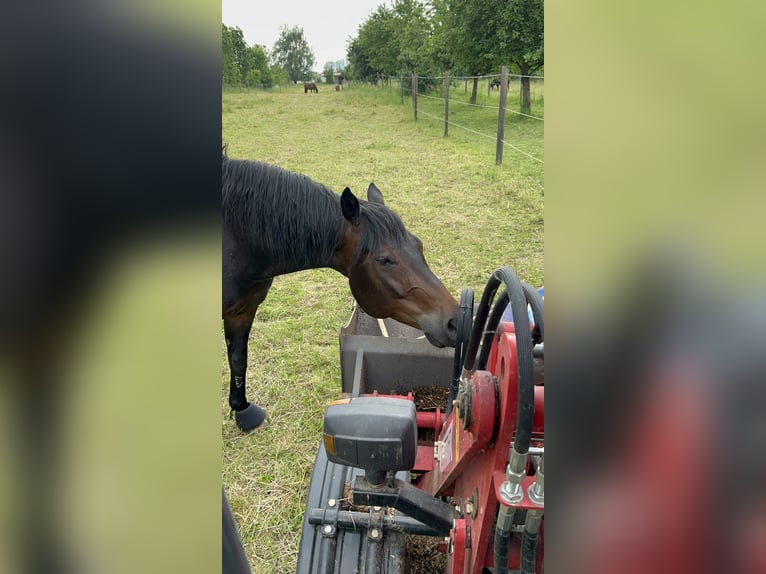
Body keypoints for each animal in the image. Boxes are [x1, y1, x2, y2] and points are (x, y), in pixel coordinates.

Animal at [222, 152, 459, 432]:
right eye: (384, 260)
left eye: (419, 245)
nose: (454, 320)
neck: (238, 241)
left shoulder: (243, 309)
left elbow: (238, 358)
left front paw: (243, 410)